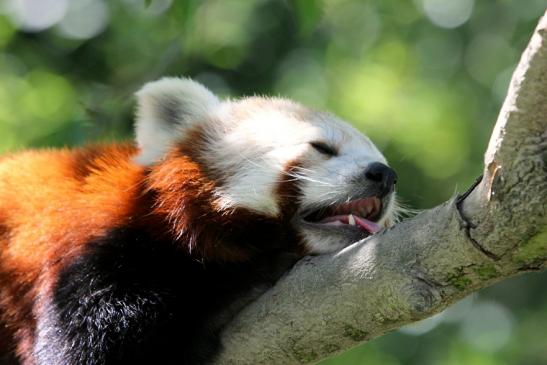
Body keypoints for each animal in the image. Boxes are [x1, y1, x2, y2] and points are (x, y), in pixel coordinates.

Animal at [0, 77, 396, 364]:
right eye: (322, 148)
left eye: (379, 156)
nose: (384, 175)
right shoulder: (87, 248)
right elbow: (90, 345)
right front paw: (245, 279)